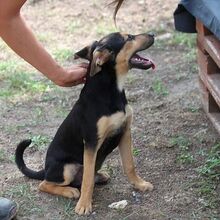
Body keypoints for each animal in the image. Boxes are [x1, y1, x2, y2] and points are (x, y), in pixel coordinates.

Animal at [15, 32, 155, 215]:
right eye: (128, 38)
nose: (152, 34)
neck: (111, 90)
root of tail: (46, 169)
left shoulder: (125, 132)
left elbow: (129, 165)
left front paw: (140, 184)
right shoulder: (91, 142)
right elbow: (87, 179)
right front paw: (84, 205)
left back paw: (99, 176)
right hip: (66, 169)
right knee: (44, 184)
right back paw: (70, 191)